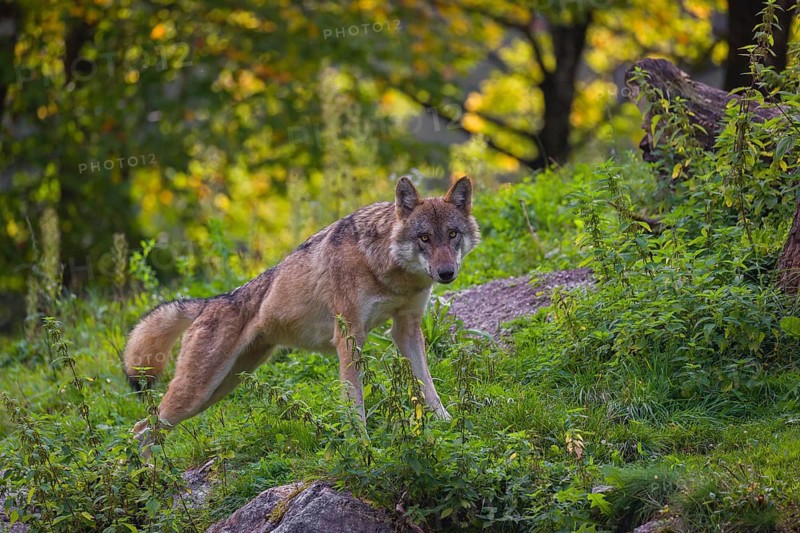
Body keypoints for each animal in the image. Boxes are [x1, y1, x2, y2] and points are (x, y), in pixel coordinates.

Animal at [123, 176, 479, 450]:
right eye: (424, 237)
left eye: (452, 234)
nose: (446, 273)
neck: (386, 269)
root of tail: (210, 301)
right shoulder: (348, 338)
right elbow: (355, 404)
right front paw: (363, 446)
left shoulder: (405, 330)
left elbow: (427, 386)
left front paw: (448, 423)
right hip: (196, 394)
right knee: (138, 430)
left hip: (221, 388)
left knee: (144, 429)